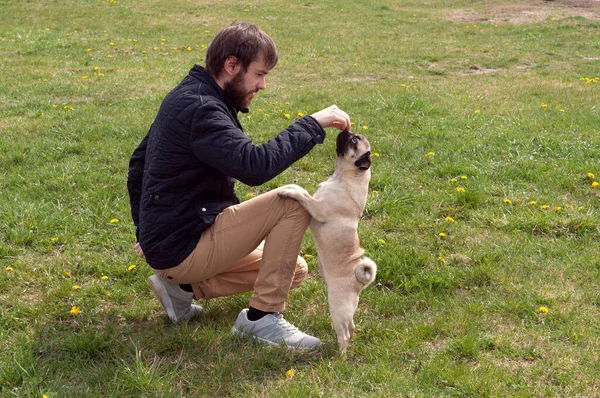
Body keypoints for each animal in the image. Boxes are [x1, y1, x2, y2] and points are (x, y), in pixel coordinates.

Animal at [278, 129, 378, 352]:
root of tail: (358, 281)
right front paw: (290, 186)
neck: (343, 177)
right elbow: (302, 190)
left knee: (344, 334)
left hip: (337, 308)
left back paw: (340, 353)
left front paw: (289, 191)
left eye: (353, 141)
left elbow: (304, 195)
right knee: (351, 326)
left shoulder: (317, 207)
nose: (346, 130)